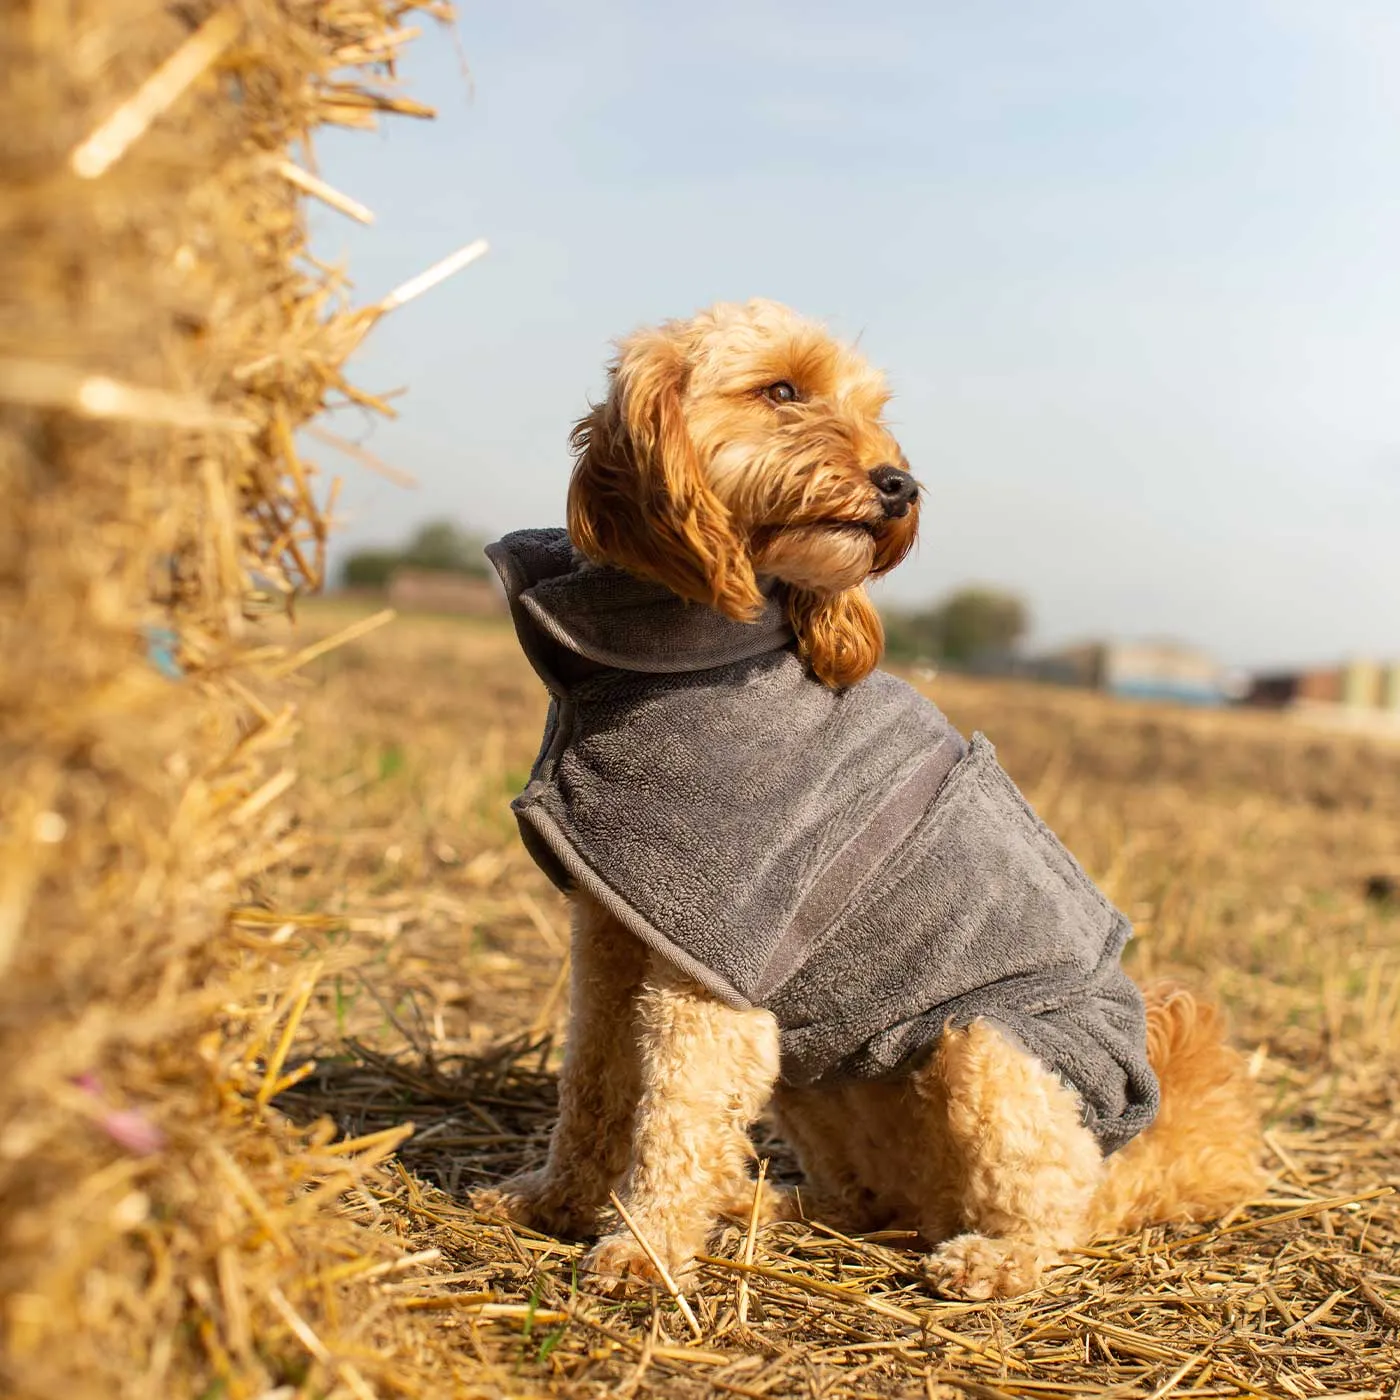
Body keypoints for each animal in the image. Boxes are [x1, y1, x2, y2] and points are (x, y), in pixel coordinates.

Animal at [476, 298, 1265, 1299]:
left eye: (872, 408)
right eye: (782, 390)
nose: (901, 484)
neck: (672, 656)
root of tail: (1144, 1155)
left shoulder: (720, 965)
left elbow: (675, 1118)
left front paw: (642, 1250)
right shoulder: (614, 929)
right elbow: (593, 1082)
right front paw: (553, 1200)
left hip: (990, 1051)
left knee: (1055, 1206)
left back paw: (990, 1260)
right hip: (823, 1073)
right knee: (869, 1201)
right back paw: (771, 1207)